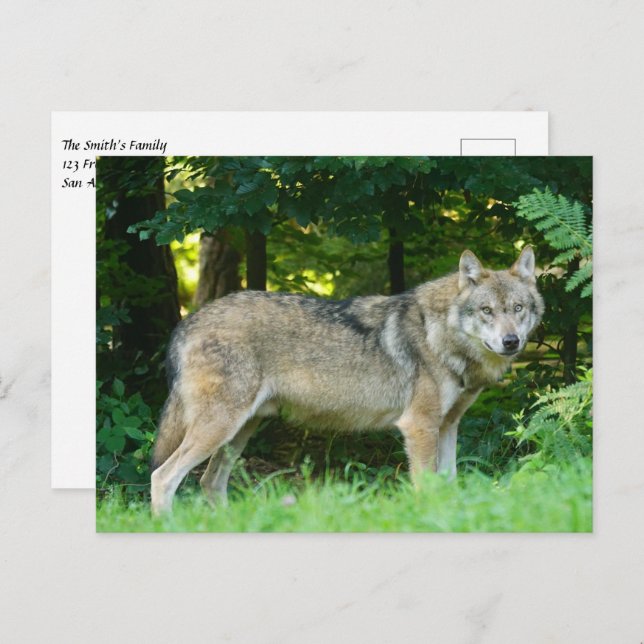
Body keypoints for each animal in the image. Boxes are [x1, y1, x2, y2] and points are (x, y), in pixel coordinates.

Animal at [150, 246, 543, 515]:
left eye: (518, 309)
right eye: (487, 311)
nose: (511, 342)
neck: (440, 335)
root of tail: (187, 322)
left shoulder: (447, 426)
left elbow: (449, 484)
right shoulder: (419, 427)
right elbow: (427, 487)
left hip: (239, 432)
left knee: (209, 482)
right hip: (220, 429)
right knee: (163, 477)